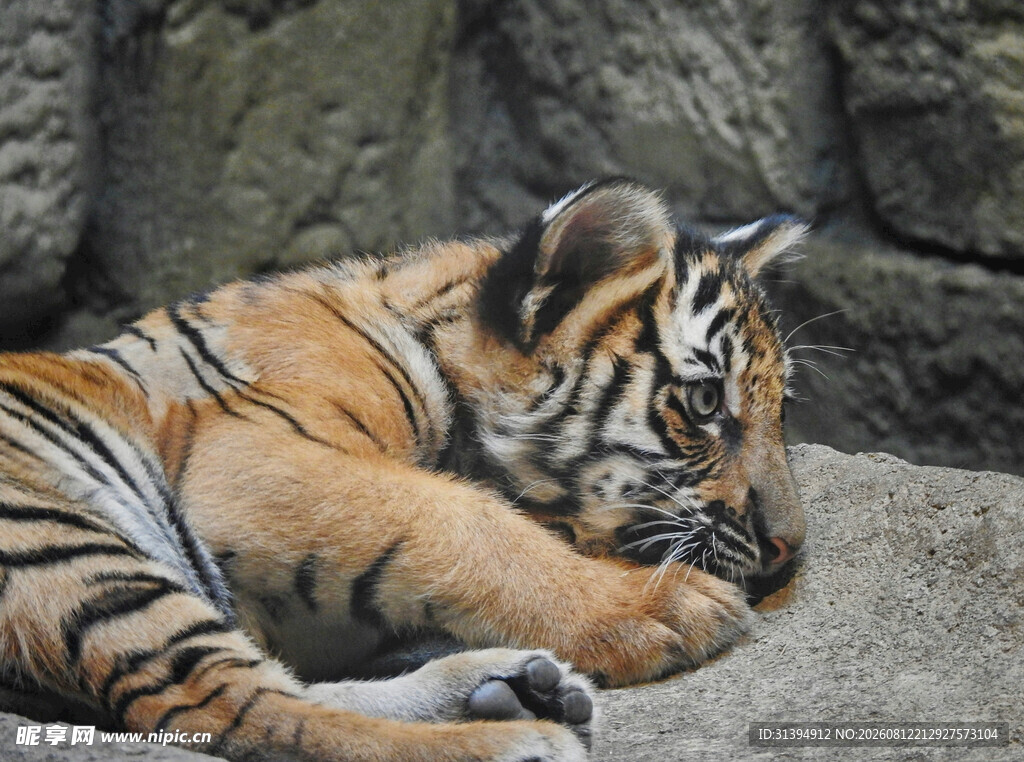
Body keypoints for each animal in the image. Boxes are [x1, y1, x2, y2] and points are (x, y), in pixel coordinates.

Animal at [0, 179, 806, 761]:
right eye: (706, 401)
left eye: (782, 410)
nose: (791, 548)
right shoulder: (246, 451)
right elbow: (457, 514)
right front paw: (659, 607)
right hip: (57, 534)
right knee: (225, 704)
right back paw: (518, 738)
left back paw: (512, 689)